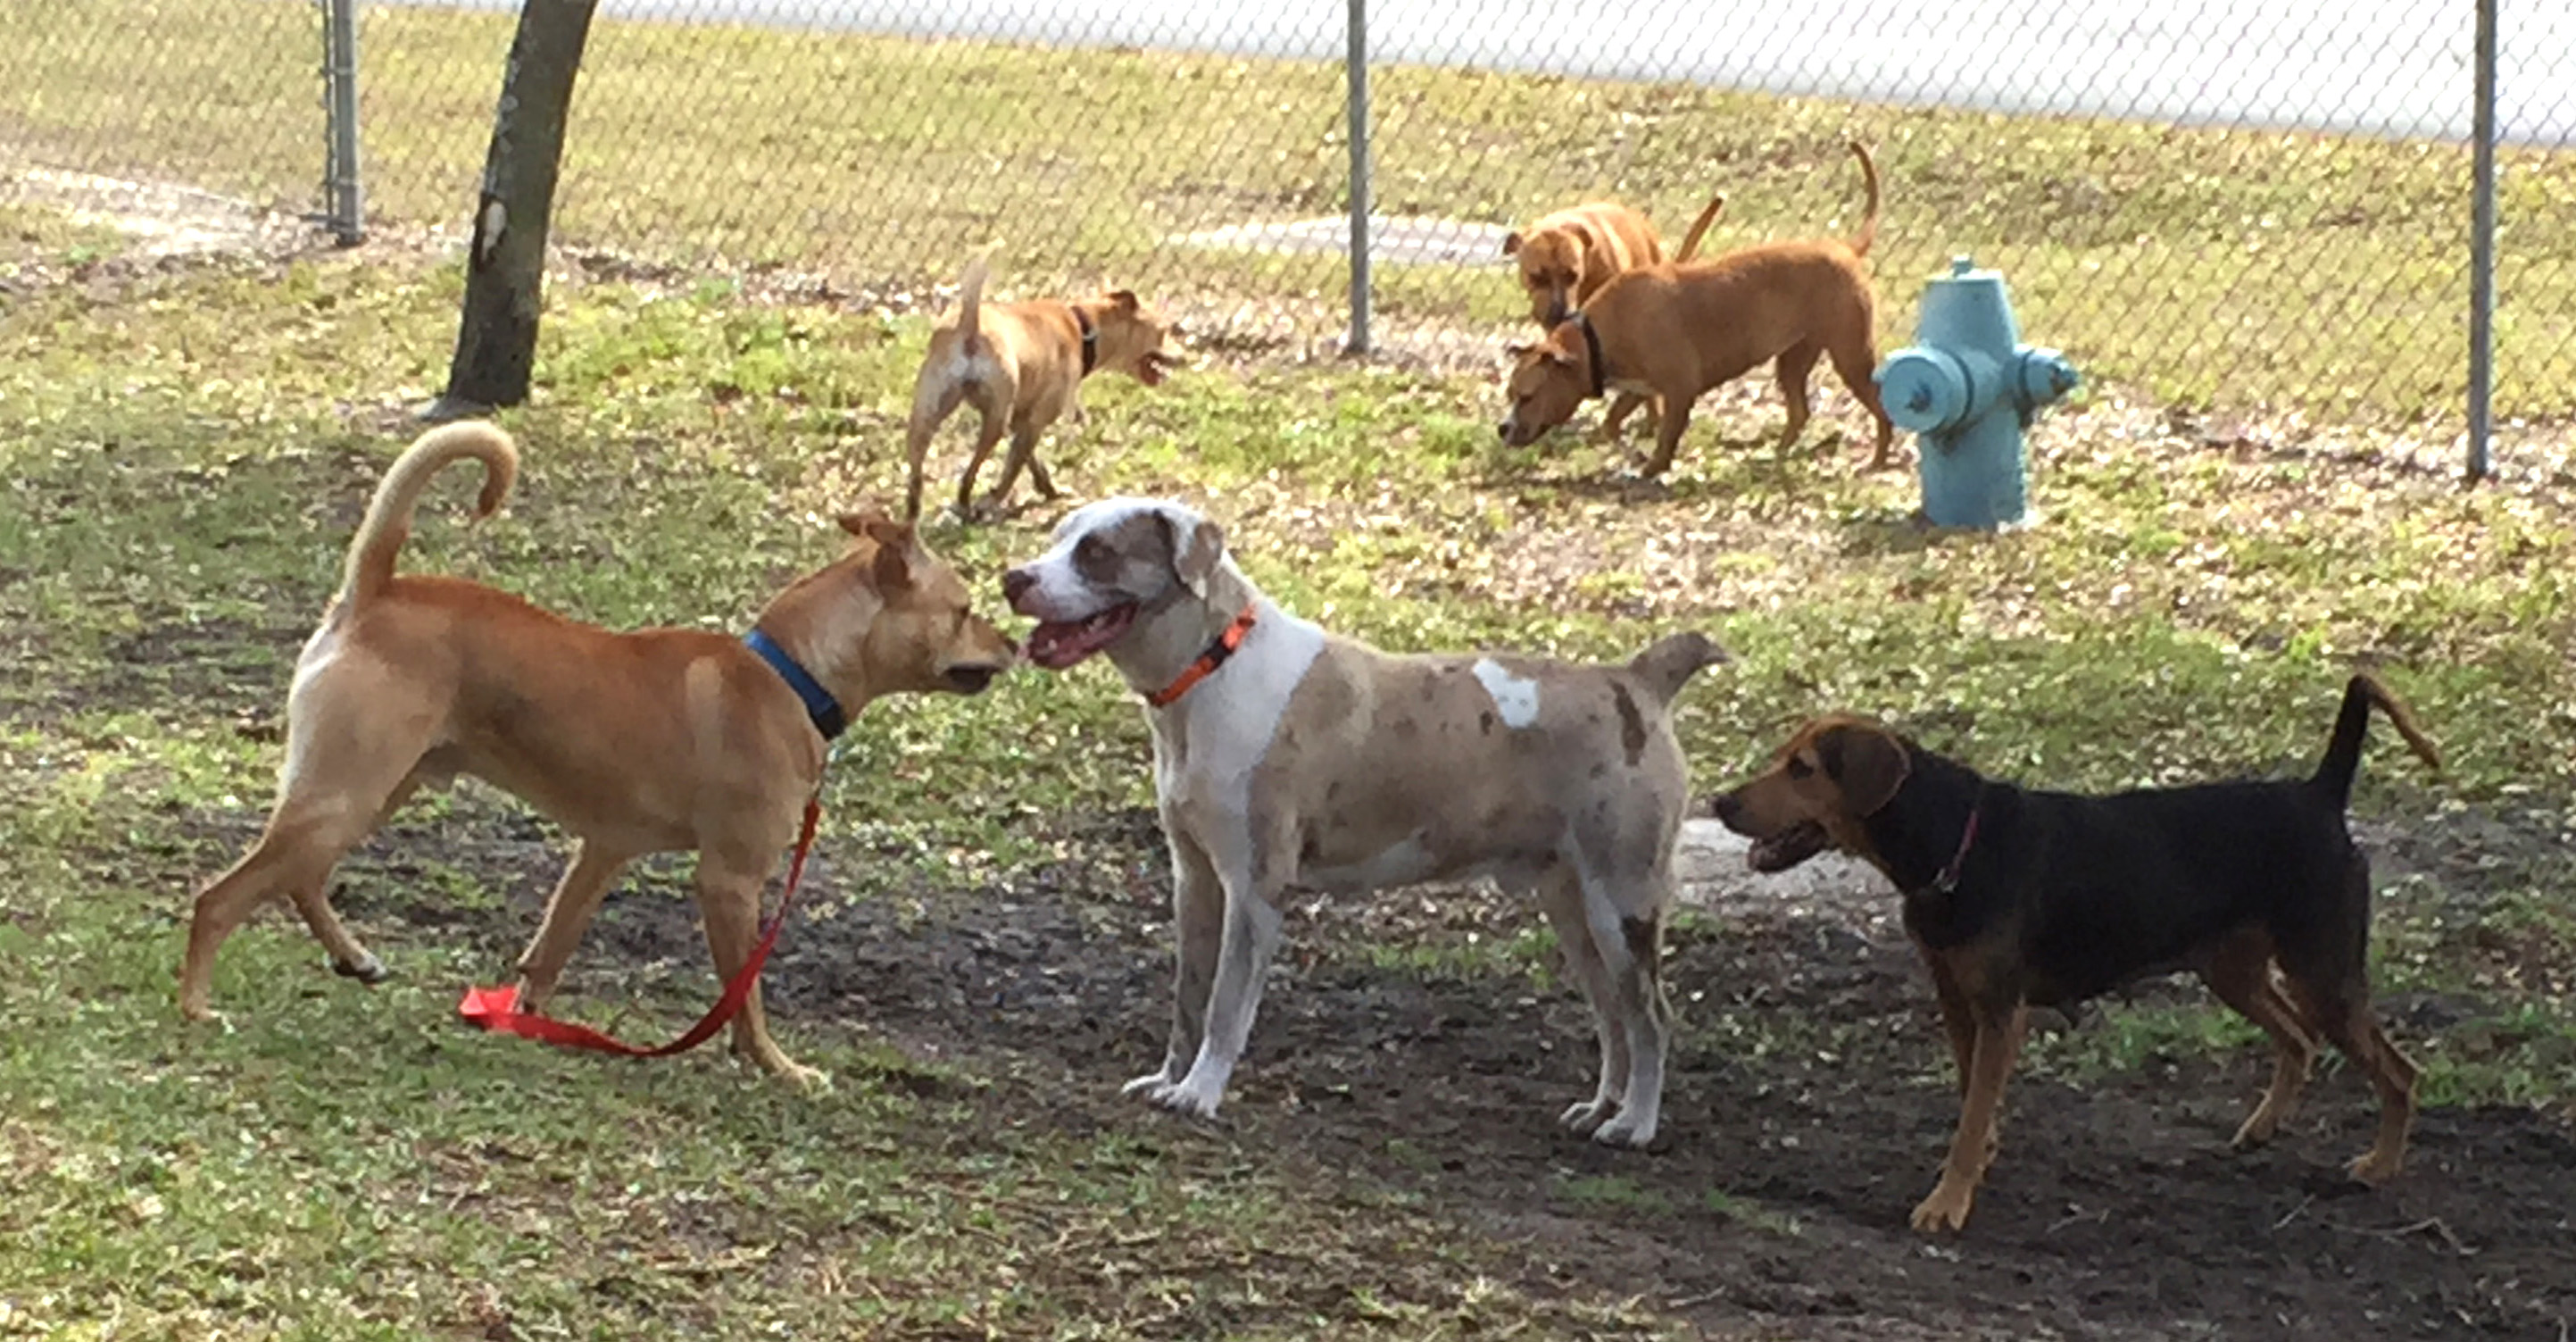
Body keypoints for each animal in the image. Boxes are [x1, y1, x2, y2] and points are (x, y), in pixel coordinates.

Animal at [170, 417, 1010, 1076]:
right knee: (222, 897)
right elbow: (745, 995)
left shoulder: (602, 851)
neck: (790, 674)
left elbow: (549, 951)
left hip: (373, 788)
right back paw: (198, 1008)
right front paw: (776, 1066)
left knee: (299, 876)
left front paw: (522, 1019)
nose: (1011, 637)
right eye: (964, 608)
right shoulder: (731, 881)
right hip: (349, 790)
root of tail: (374, 588)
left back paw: (352, 955)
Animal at [1004, 496, 1731, 1143]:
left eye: (1097, 552)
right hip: (1574, 910)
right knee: (1614, 1017)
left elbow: (1226, 1005)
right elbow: (1189, 997)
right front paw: (1168, 1078)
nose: (1014, 578)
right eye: (1057, 535)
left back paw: (1635, 1125)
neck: (1215, 666)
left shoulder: (1255, 889)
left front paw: (1200, 1092)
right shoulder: (1195, 879)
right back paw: (1603, 1108)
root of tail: (1637, 680)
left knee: (1652, 1018)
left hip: (1623, 903)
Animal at [1504, 139, 1906, 476]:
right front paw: (1632, 455)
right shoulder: (1640, 387)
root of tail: (1844, 248)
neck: (1595, 335)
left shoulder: (1679, 389)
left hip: (1851, 356)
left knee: (1881, 409)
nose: (1501, 428)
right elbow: (1611, 425)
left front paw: (1653, 467)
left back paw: (1876, 461)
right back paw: (1774, 457)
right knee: (1800, 412)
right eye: (1510, 396)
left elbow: (1665, 436)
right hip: (1793, 360)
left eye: (1527, 397)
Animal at [1710, 674, 2431, 1230]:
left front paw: (1948, 1202)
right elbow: (1972, 1094)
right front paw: (1982, 1157)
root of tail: (2320, 792)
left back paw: (2382, 1165)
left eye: (1802, 769)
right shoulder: (1957, 999)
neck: (1953, 841)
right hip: (2232, 968)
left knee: (2399, 1072)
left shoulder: (2002, 1011)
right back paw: (2264, 1126)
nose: (1719, 801)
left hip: (2323, 971)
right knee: (2300, 1040)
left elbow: (1970, 1116)